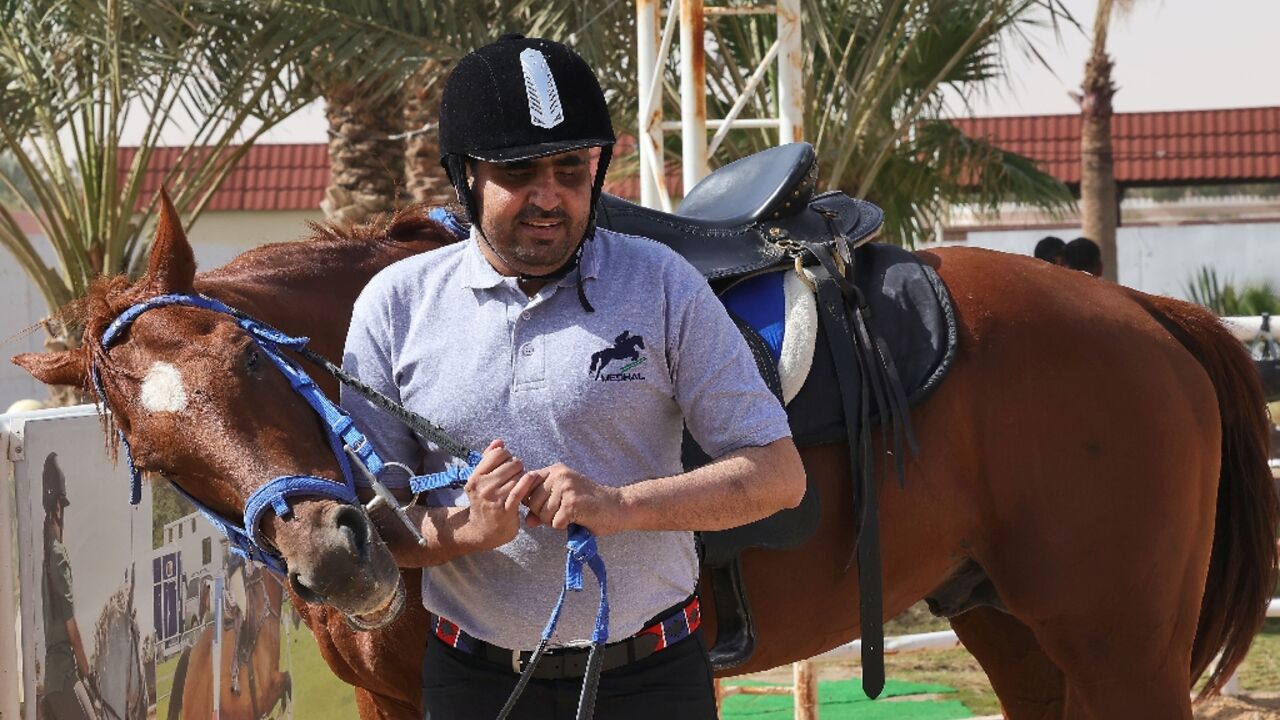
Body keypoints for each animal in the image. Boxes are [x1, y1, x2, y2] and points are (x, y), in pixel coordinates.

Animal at [12, 196, 1280, 717]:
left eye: (248, 358)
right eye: (148, 446)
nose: (333, 551)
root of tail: (1143, 312)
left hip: (1118, 645)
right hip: (1011, 626)